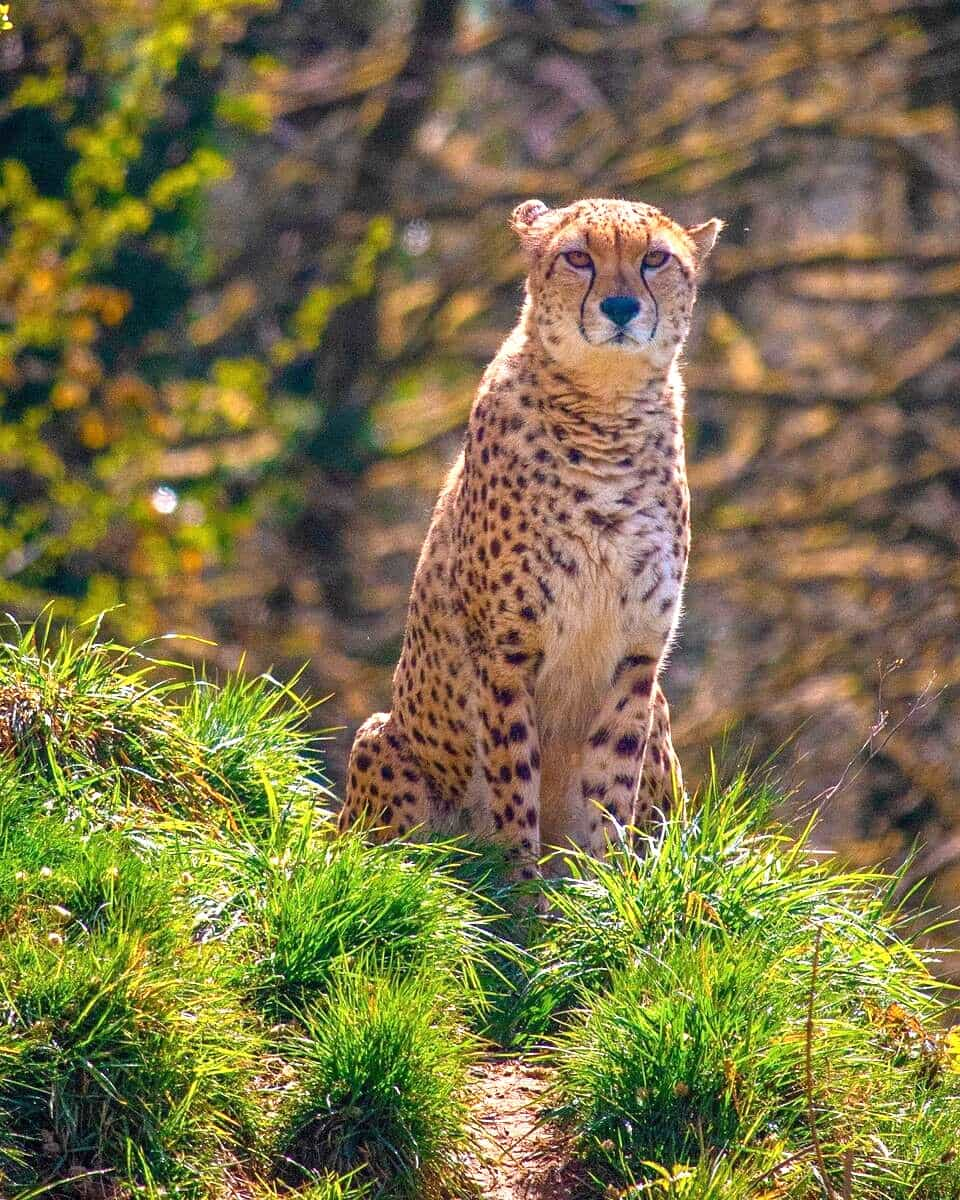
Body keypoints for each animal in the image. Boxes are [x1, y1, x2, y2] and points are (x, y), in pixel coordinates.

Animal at [338, 192, 720, 878]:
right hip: (380, 743)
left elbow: (610, 790)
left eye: (655, 259)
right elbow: (515, 785)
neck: (604, 409)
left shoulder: (637, 658)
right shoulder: (506, 654)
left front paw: (606, 893)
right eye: (577, 257)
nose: (620, 307)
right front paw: (522, 891)